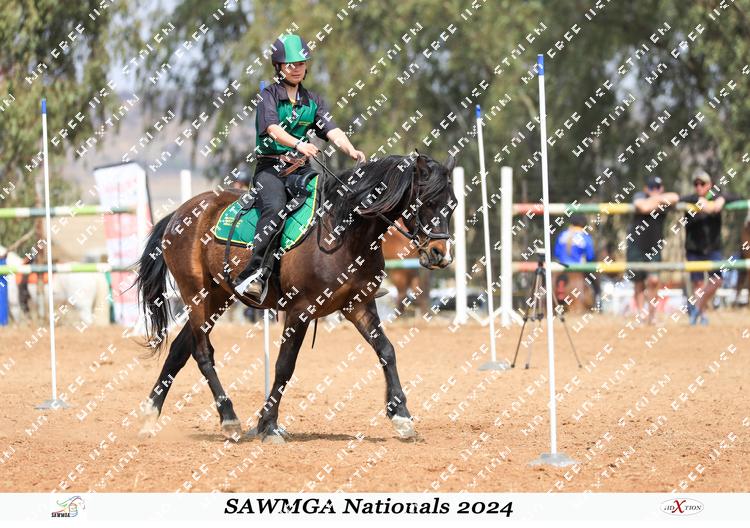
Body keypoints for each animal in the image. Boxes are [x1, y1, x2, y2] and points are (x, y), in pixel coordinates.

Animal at [135, 153, 456, 443]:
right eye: (428, 202)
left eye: (452, 205)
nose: (440, 254)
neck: (343, 232)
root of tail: (180, 213)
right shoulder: (300, 310)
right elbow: (284, 366)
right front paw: (268, 425)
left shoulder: (359, 304)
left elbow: (386, 351)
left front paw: (402, 417)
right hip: (196, 295)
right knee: (203, 353)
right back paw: (229, 419)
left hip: (217, 298)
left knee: (179, 350)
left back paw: (150, 417)